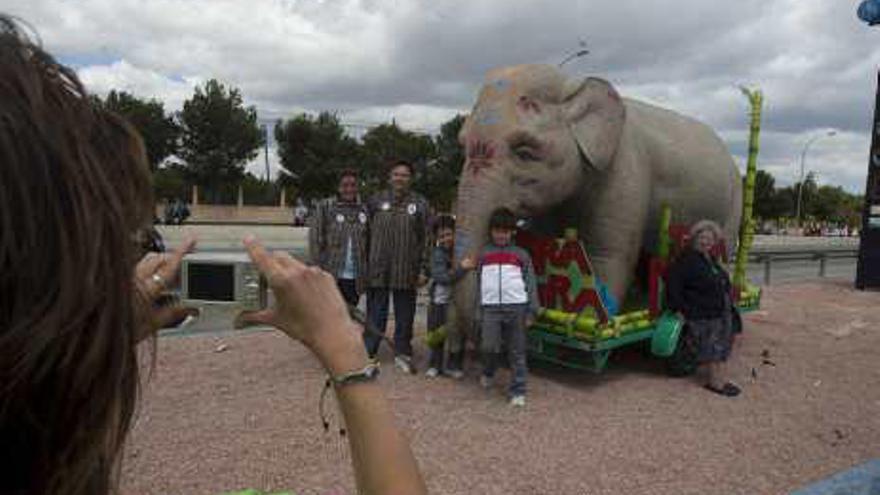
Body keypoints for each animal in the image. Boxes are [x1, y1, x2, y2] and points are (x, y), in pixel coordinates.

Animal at [454, 66, 744, 328]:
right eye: (462, 145)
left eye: (524, 152)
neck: (573, 82)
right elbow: (547, 247)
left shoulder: (626, 171)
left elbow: (606, 254)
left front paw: (595, 325)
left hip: (734, 204)